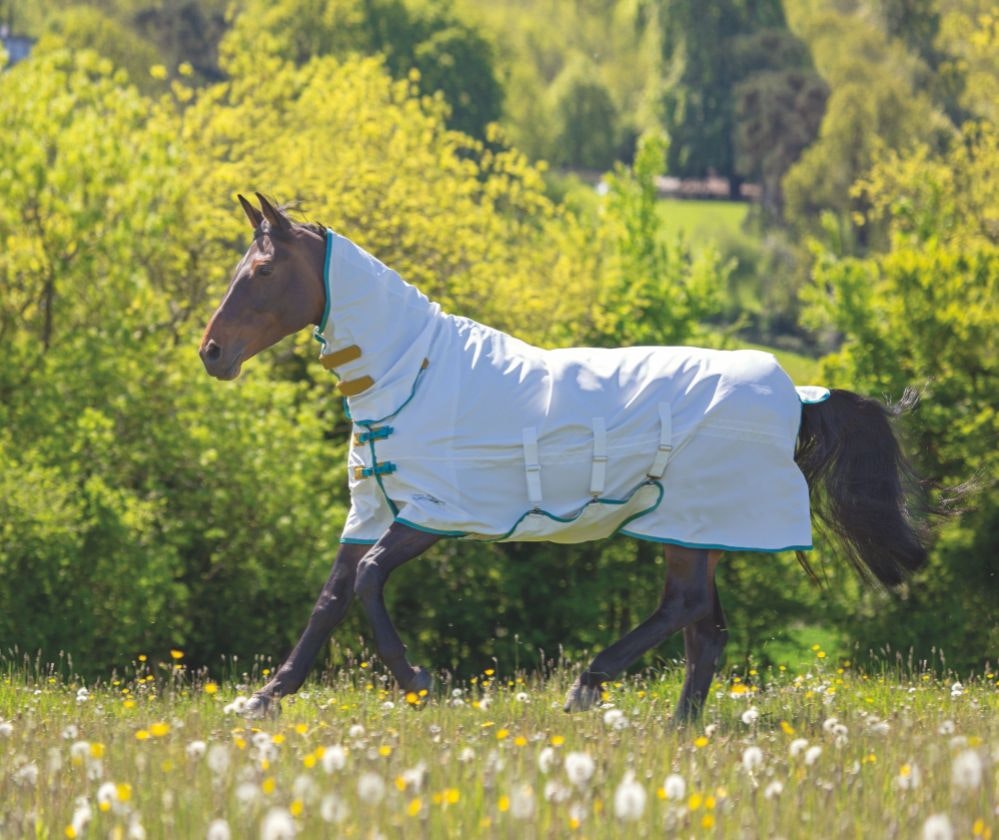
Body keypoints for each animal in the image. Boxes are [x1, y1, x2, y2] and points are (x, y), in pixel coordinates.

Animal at [199, 192, 932, 720]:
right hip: (696, 530)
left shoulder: (435, 514)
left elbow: (369, 581)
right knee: (704, 627)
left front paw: (419, 681)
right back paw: (678, 727)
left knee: (687, 609)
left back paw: (589, 684)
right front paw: (263, 698)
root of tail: (798, 395)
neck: (415, 372)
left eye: (262, 270)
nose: (211, 353)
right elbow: (331, 596)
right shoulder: (373, 508)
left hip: (691, 525)